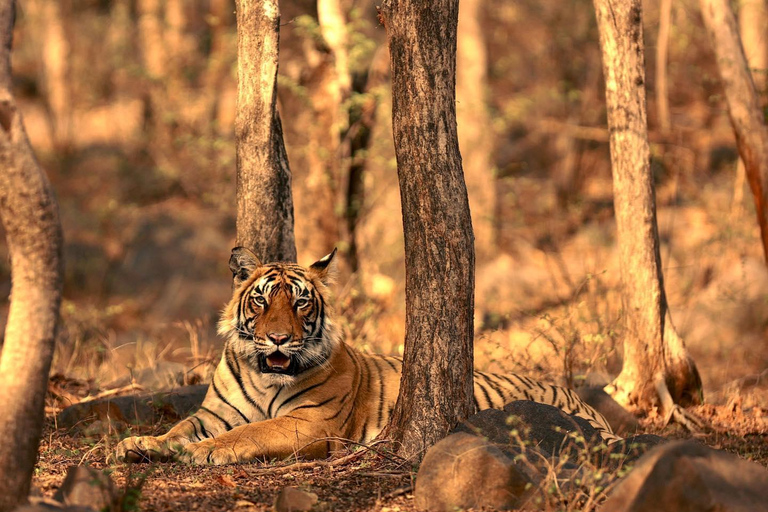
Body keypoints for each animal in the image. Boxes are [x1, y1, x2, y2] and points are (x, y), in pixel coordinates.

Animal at [115, 247, 619, 465]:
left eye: (300, 302)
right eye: (261, 300)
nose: (277, 339)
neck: (264, 373)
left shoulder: (310, 422)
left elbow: (250, 433)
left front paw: (201, 453)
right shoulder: (214, 413)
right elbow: (180, 427)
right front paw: (141, 444)